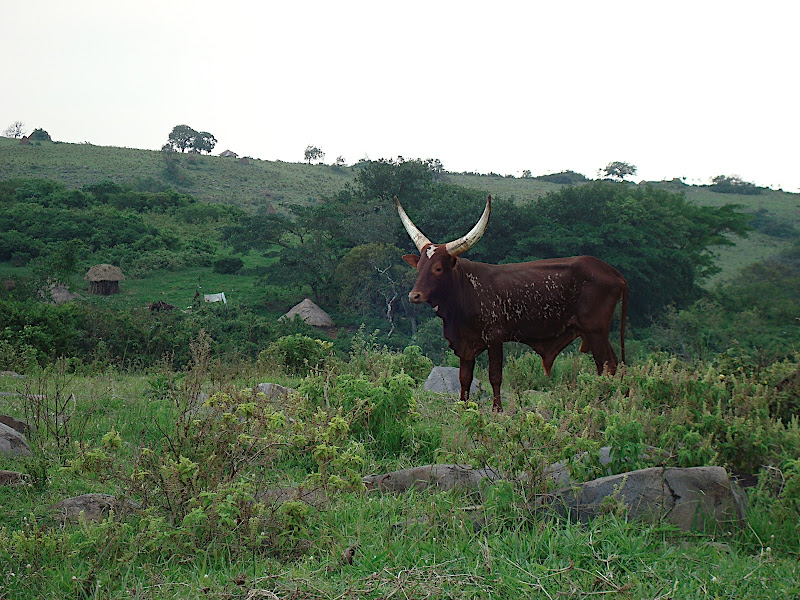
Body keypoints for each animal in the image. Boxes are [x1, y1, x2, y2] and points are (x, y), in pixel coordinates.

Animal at [396, 195, 628, 411]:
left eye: (437, 268)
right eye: (420, 267)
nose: (414, 295)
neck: (465, 290)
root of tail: (613, 272)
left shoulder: (495, 337)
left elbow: (495, 376)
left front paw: (497, 410)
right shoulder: (465, 342)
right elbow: (464, 377)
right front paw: (463, 406)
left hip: (595, 330)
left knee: (607, 366)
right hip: (596, 332)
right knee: (614, 364)